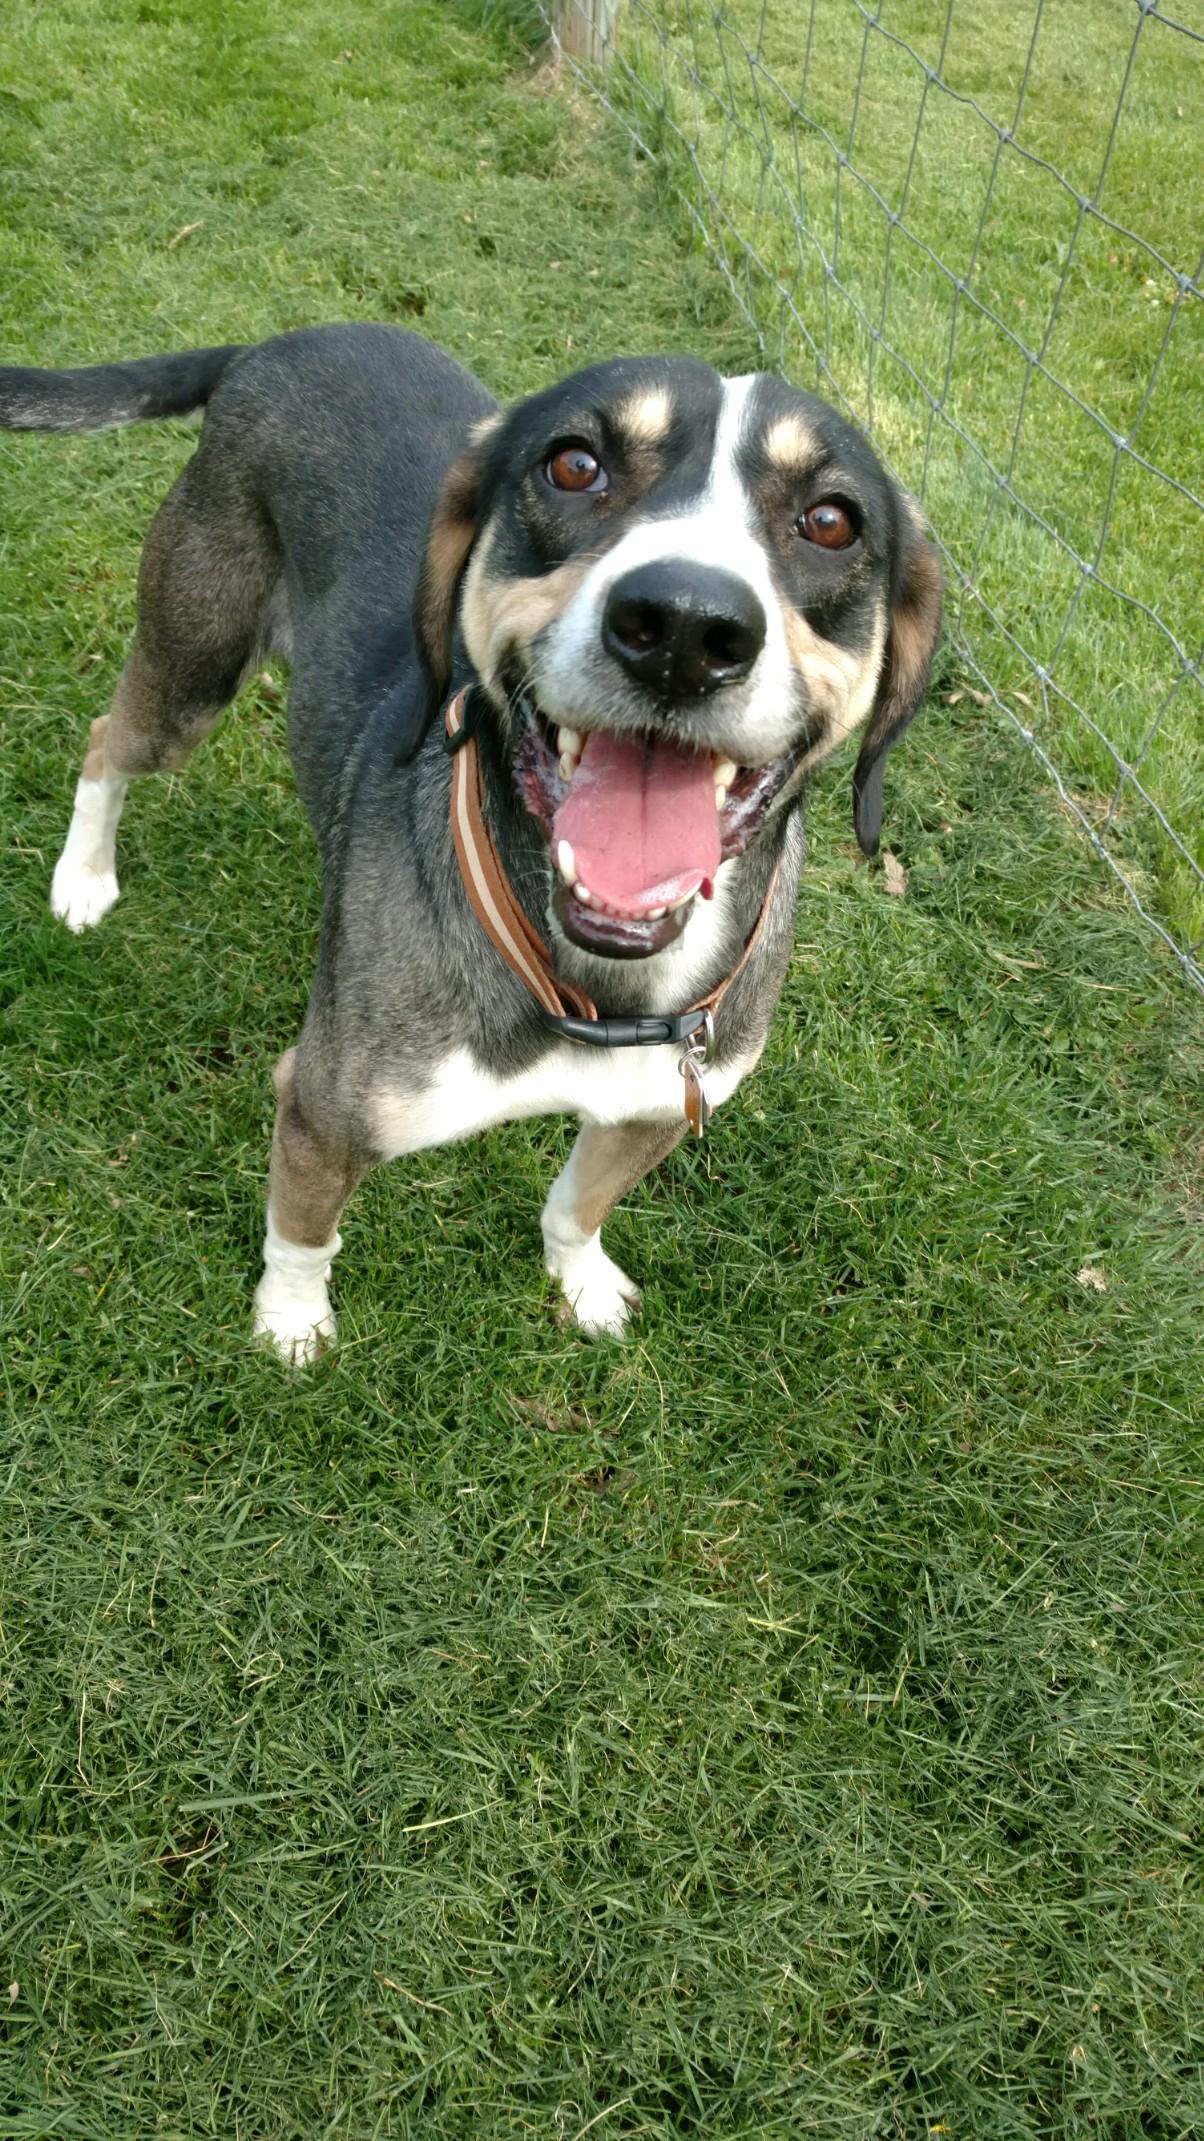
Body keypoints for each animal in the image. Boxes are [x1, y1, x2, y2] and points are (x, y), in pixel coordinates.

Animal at [0, 325, 938, 1361]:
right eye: (574, 465)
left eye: (831, 521)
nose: (685, 629)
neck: (597, 990)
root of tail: (278, 340)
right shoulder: (325, 1108)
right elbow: (303, 1233)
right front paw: (291, 1325)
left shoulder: (655, 1107)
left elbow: (579, 1201)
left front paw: (581, 1282)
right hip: (194, 661)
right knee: (108, 741)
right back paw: (83, 878)